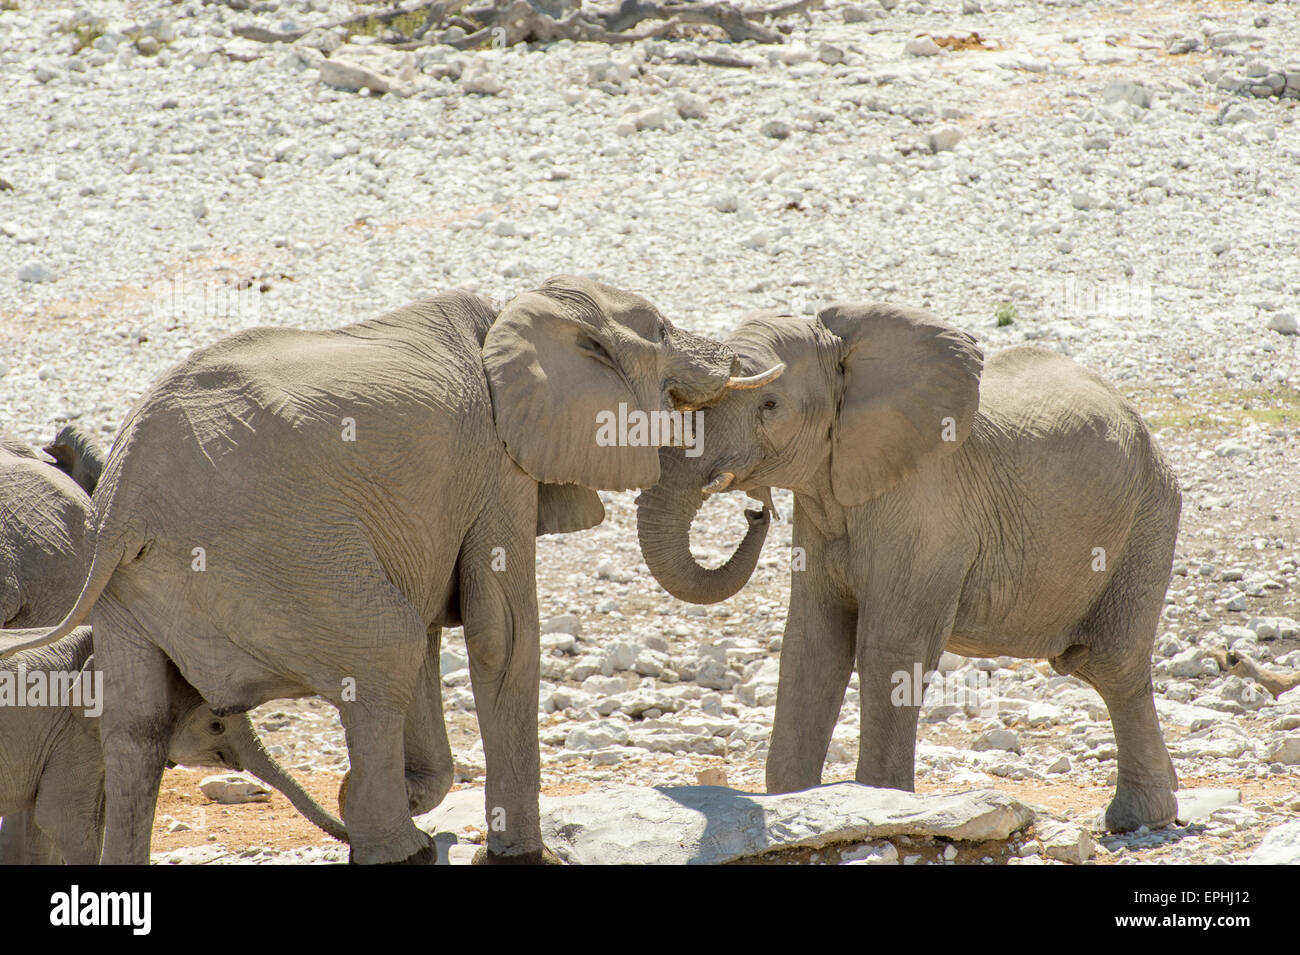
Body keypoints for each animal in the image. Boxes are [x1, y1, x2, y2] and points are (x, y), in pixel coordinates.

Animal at [634, 302, 1185, 831]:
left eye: (770, 406)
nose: (757, 511)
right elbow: (812, 646)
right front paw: (794, 802)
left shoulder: (927, 506)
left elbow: (891, 650)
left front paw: (880, 803)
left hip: (1148, 515)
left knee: (1112, 665)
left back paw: (1136, 820)